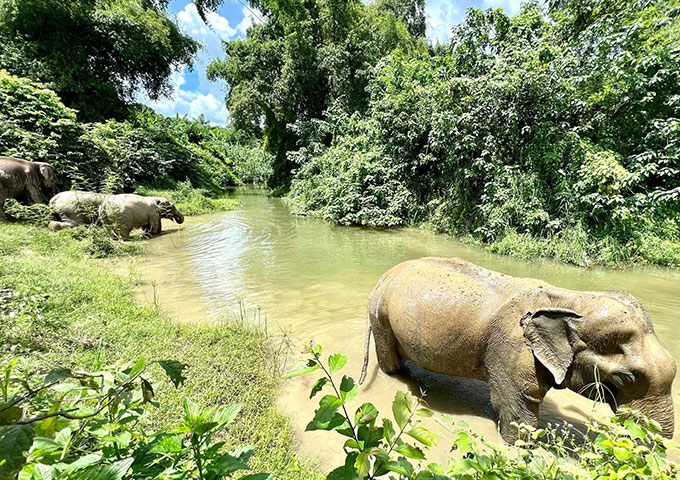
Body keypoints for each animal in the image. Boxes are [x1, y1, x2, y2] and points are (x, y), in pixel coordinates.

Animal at [359, 257, 676, 443]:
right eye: (626, 379)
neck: (570, 299)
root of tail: (385, 275)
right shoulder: (513, 348)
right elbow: (518, 412)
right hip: (381, 318)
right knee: (392, 365)